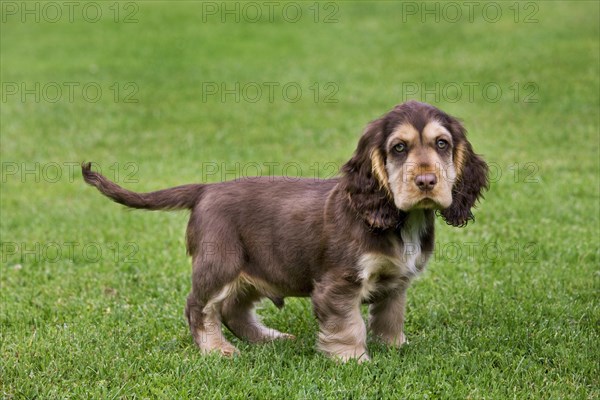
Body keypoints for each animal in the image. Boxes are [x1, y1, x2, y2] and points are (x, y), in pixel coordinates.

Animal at [83, 101, 488, 362]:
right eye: (399, 148)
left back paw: (268, 338)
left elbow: (390, 316)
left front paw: (394, 347)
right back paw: (216, 349)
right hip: (221, 263)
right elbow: (348, 324)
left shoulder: (396, 281)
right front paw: (353, 360)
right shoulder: (338, 284)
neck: (400, 219)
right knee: (198, 306)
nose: (426, 181)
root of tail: (206, 189)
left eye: (442, 144)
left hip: (256, 268)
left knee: (233, 309)